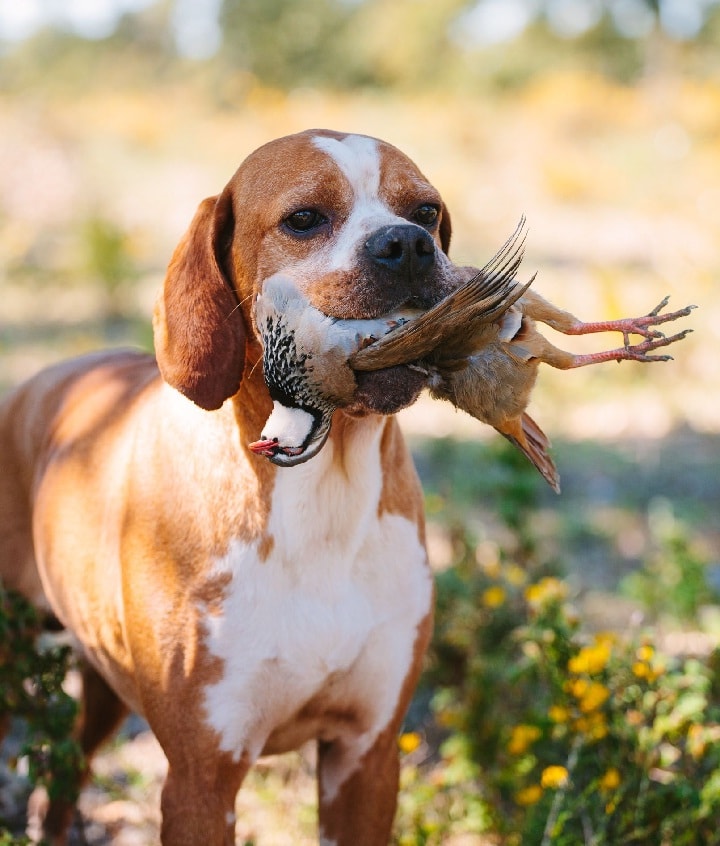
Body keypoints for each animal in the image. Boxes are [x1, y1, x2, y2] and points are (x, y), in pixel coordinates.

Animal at [0, 129, 462, 844]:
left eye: (426, 212)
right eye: (304, 218)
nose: (408, 244)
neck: (322, 499)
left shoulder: (366, 757)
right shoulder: (201, 777)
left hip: (101, 688)